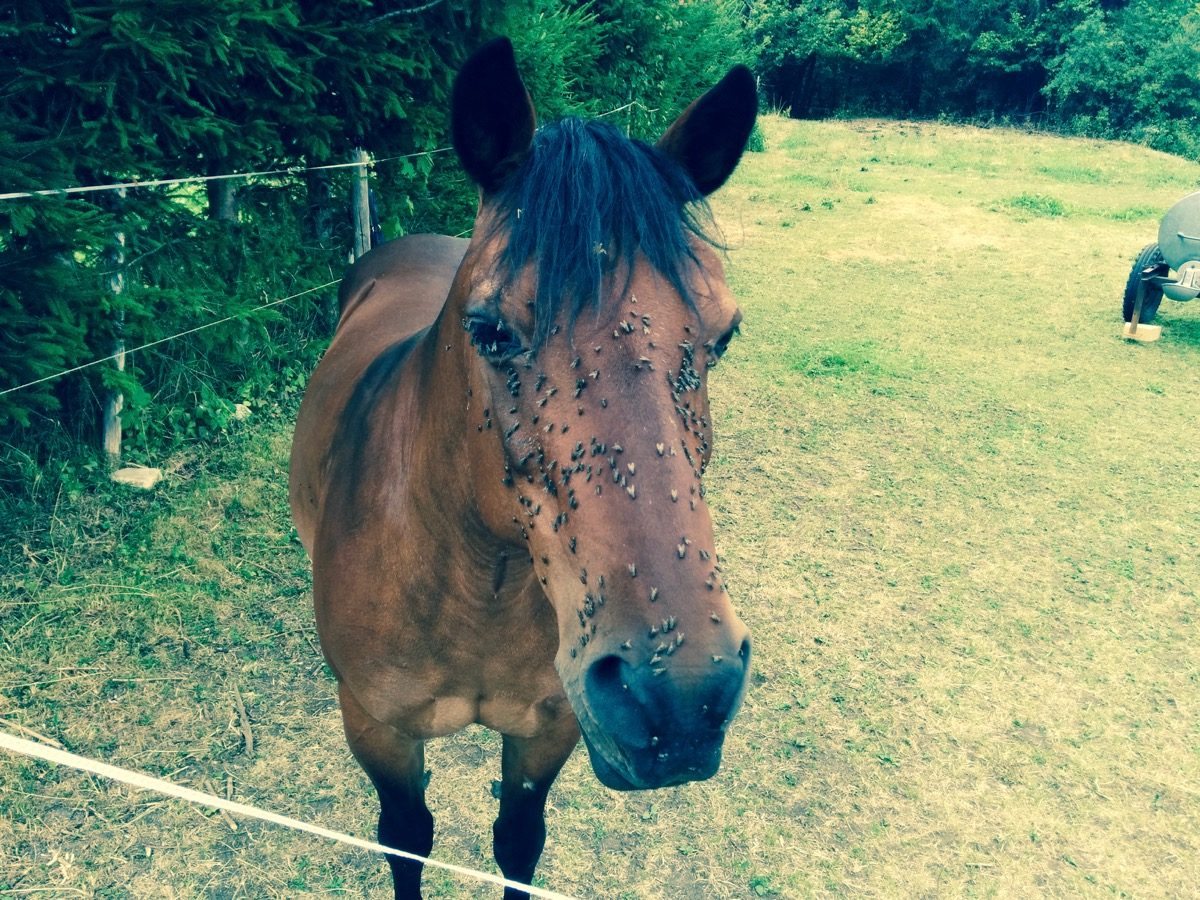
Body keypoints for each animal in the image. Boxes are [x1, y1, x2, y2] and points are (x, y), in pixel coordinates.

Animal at [289, 38, 753, 897]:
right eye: (490, 330)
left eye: (724, 335)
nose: (680, 698)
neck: (479, 582)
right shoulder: (376, 731)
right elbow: (408, 839)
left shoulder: (548, 731)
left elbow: (517, 843)